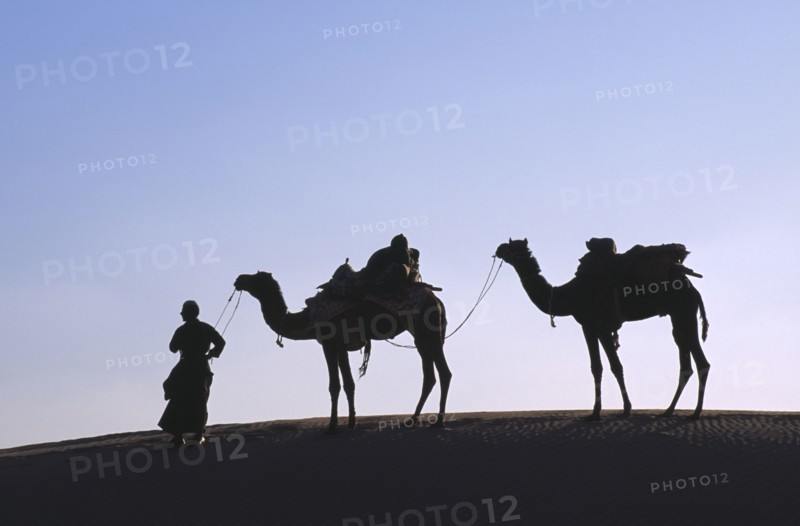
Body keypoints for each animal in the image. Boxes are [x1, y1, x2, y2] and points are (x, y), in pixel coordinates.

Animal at [233, 271, 452, 434]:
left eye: (256, 278)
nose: (239, 279)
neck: (307, 319)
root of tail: (438, 301)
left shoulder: (328, 343)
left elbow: (334, 385)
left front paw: (331, 427)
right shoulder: (341, 347)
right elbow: (349, 384)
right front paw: (352, 423)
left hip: (427, 329)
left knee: (444, 373)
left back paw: (439, 421)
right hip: (422, 335)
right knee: (430, 376)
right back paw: (412, 419)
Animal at [495, 238, 710, 420]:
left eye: (513, 246)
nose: (499, 249)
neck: (567, 294)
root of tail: (693, 289)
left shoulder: (593, 324)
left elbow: (606, 366)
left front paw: (604, 412)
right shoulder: (596, 327)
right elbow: (605, 367)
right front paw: (613, 409)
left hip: (683, 310)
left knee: (701, 362)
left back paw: (695, 413)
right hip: (678, 316)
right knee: (686, 361)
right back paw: (669, 410)